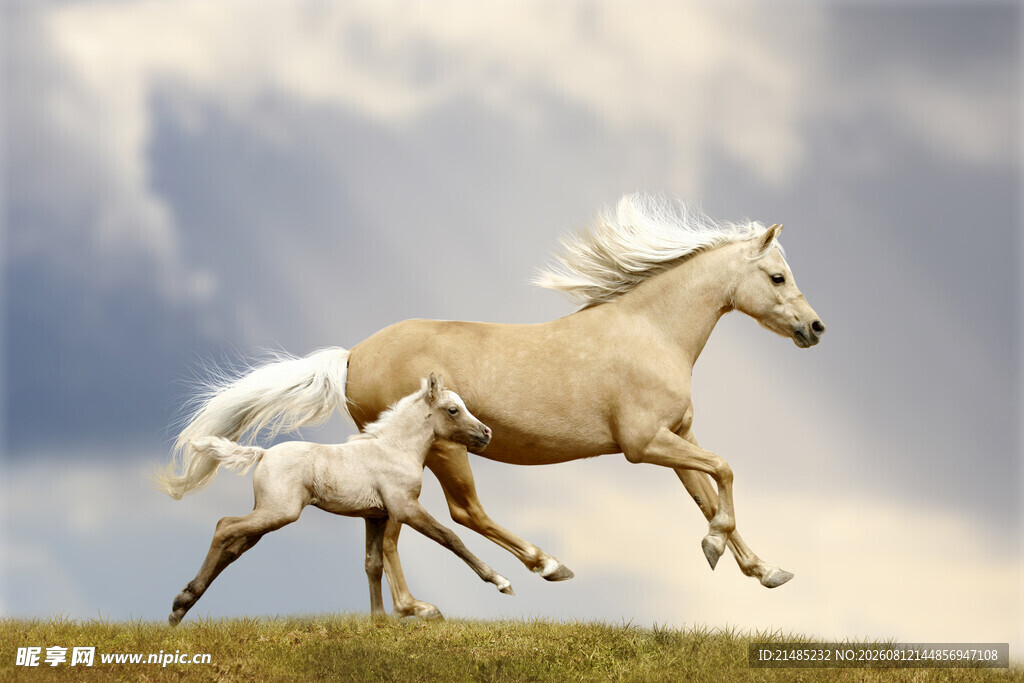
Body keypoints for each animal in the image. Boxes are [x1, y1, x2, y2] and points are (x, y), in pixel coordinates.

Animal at [165, 375, 513, 626]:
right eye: (453, 409)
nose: (486, 433)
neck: (395, 449)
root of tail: (262, 454)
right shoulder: (405, 508)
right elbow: (449, 538)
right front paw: (498, 582)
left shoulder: (376, 516)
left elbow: (373, 563)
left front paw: (379, 619)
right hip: (279, 512)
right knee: (225, 526)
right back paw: (181, 602)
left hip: (267, 516)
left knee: (232, 545)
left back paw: (180, 607)